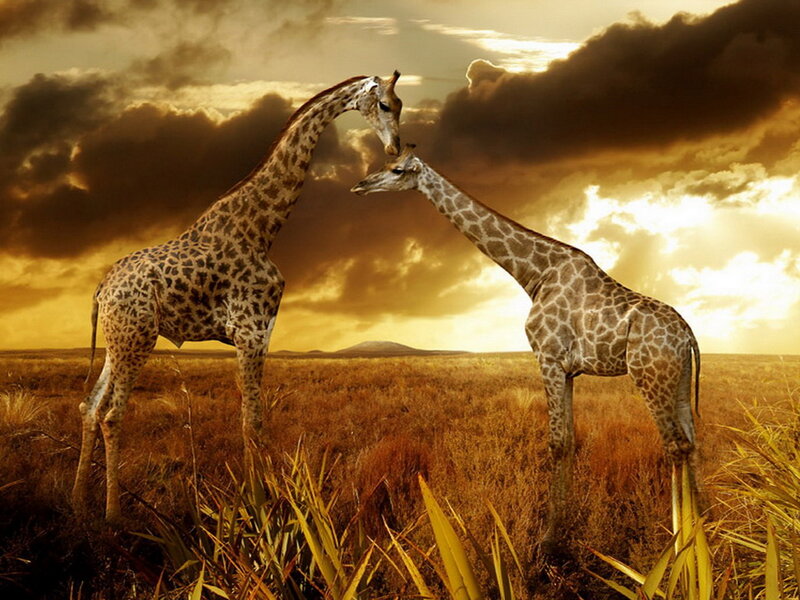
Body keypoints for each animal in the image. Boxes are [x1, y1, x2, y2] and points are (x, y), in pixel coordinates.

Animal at [72, 72, 404, 523]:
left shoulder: (256, 334)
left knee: (89, 407)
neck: (263, 229)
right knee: (110, 414)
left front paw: (259, 500)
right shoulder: (251, 333)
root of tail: (101, 289)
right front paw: (258, 505)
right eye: (385, 104)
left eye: (401, 105)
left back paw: (77, 502)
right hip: (136, 339)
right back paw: (112, 514)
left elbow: (251, 419)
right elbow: (253, 422)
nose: (396, 147)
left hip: (116, 342)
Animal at [351, 145, 701, 557]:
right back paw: (702, 527)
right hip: (678, 379)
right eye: (385, 164)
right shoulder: (568, 369)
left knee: (674, 444)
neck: (534, 275)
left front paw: (549, 540)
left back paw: (680, 547)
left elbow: (556, 443)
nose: (360, 185)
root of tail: (687, 334)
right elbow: (569, 440)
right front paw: (565, 528)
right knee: (691, 440)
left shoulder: (547, 358)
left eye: (397, 169)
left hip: (649, 375)